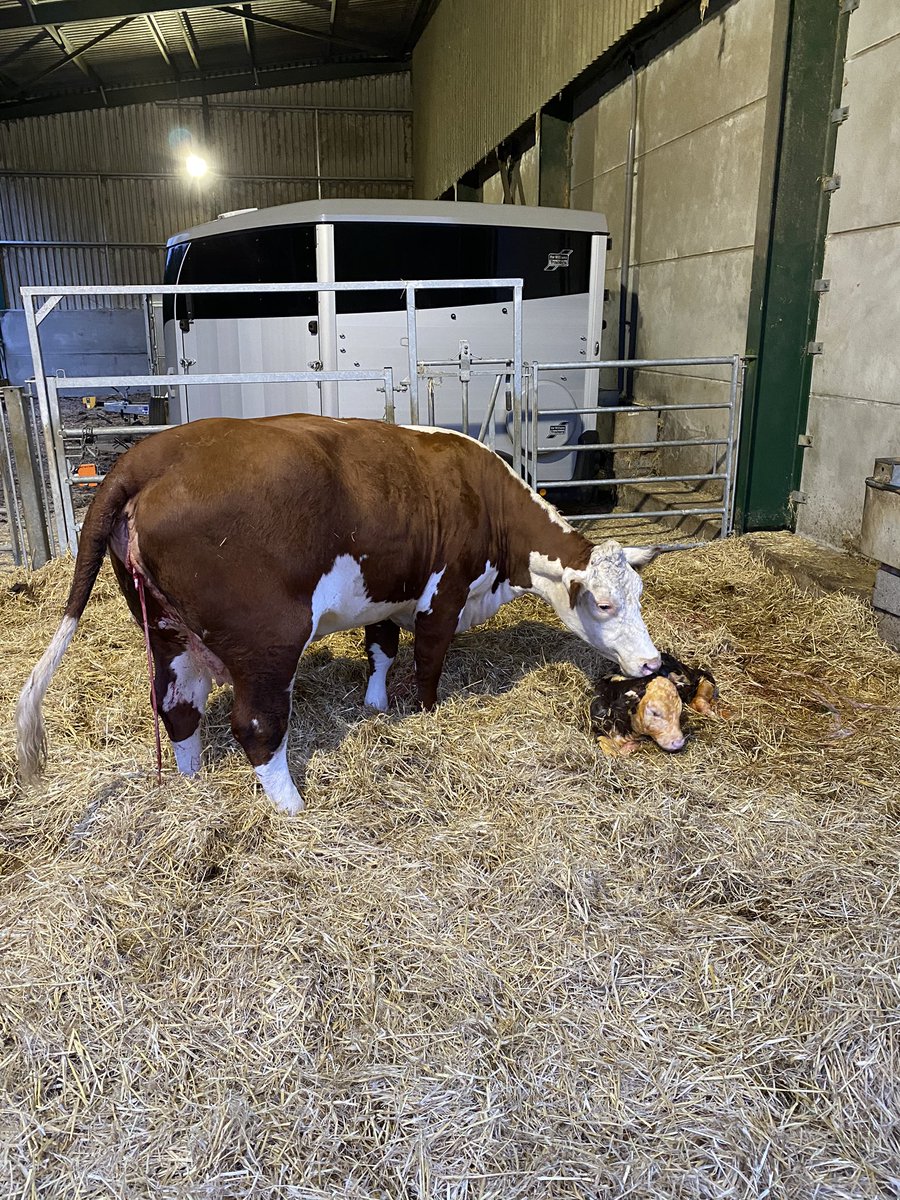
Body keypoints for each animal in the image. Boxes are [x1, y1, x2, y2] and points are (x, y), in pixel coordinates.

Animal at [17, 415, 664, 813]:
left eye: (638, 595)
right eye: (605, 603)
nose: (652, 663)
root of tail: (148, 456)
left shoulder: (387, 592)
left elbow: (380, 648)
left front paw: (375, 704)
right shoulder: (443, 595)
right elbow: (427, 664)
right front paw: (426, 716)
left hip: (169, 632)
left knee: (178, 708)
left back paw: (192, 785)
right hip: (267, 640)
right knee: (257, 725)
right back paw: (292, 807)